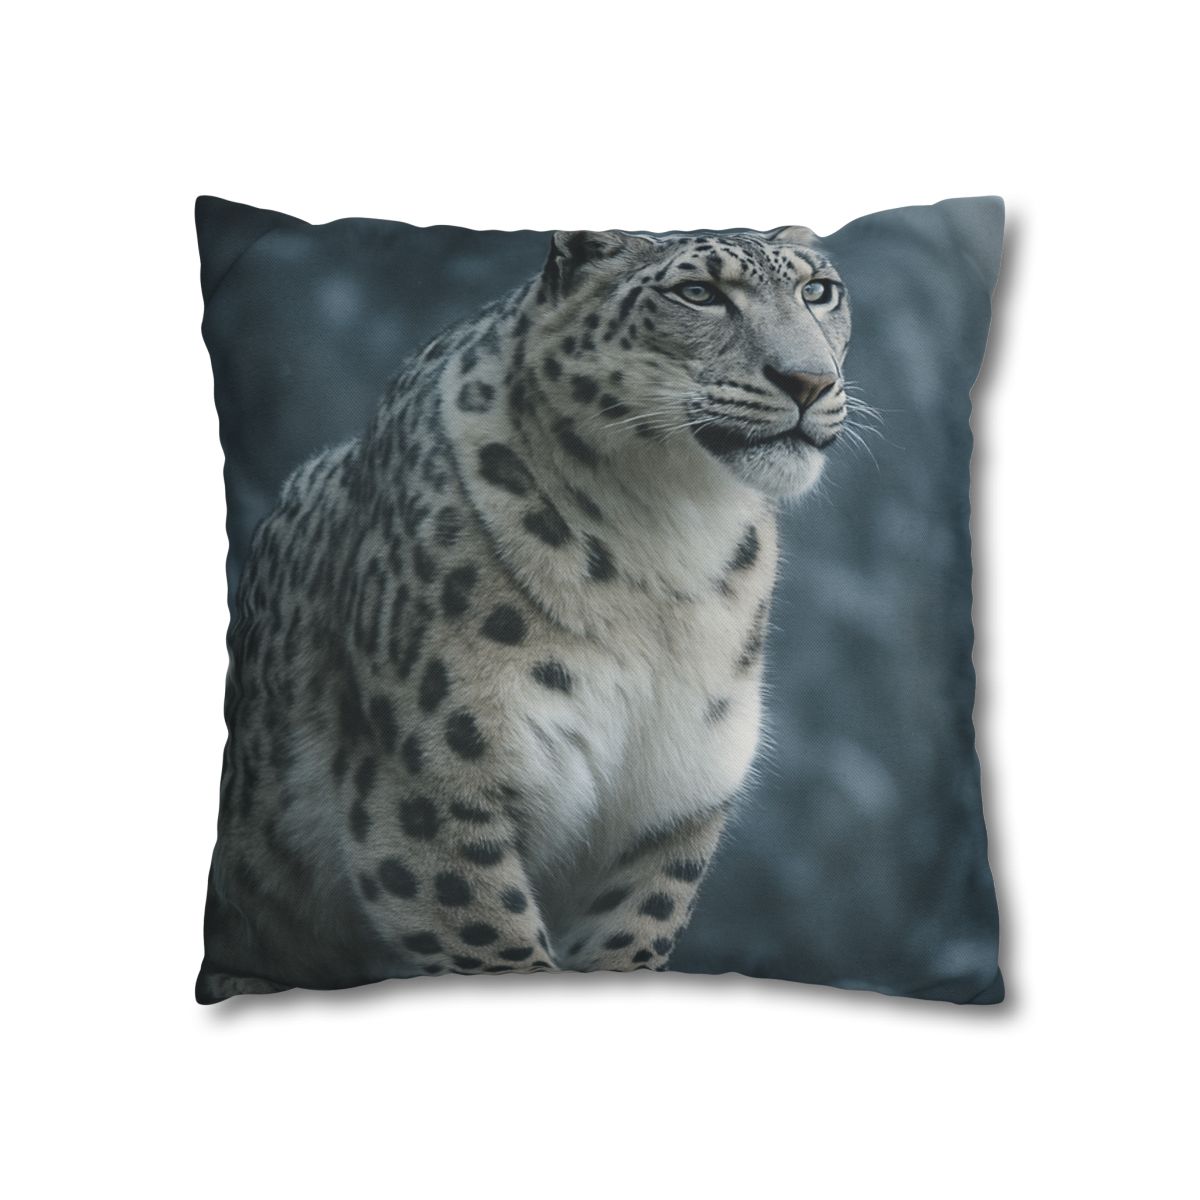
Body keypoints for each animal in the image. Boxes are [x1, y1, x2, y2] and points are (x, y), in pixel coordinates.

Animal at [197, 224, 853, 1002]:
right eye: (698, 292)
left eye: (818, 290)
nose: (809, 380)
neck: (674, 541)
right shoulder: (430, 792)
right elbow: (492, 940)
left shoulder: (669, 810)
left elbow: (630, 939)